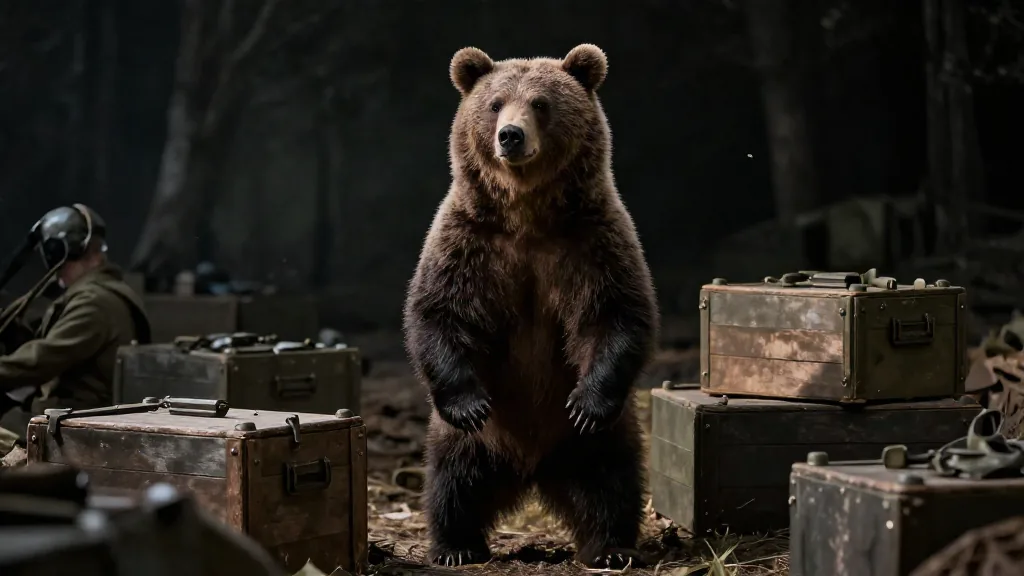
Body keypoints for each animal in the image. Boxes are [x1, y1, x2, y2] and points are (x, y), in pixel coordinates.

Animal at [402, 44, 659, 569]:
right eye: (495, 103)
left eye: (540, 103)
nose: (511, 135)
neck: (526, 216)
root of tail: (532, 468)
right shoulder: (469, 242)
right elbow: (439, 313)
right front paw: (469, 404)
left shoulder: (591, 242)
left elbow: (615, 313)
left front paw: (586, 403)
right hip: (471, 442)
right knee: (452, 481)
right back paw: (456, 546)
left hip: (596, 440)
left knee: (612, 479)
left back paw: (610, 547)